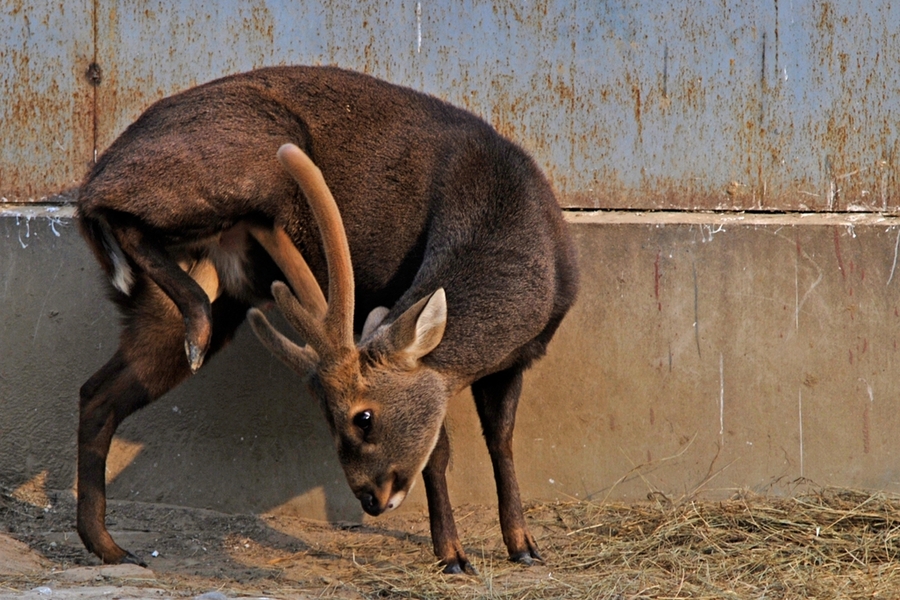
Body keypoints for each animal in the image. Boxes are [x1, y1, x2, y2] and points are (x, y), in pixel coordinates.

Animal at [79, 64, 584, 572]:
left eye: (363, 417)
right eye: (331, 414)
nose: (370, 498)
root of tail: (102, 168)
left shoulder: (519, 358)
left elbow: (502, 442)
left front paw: (524, 545)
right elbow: (438, 452)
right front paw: (452, 555)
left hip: (183, 300)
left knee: (97, 393)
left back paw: (108, 546)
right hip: (246, 163)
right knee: (116, 211)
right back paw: (196, 318)